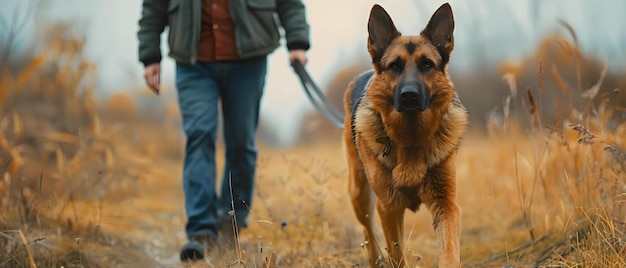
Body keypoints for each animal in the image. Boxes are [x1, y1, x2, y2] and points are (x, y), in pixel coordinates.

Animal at [342, 3, 468, 266]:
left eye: (427, 64)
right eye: (394, 66)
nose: (410, 95)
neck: (411, 138)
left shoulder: (446, 204)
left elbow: (449, 250)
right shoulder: (389, 207)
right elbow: (397, 254)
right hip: (360, 196)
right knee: (369, 233)